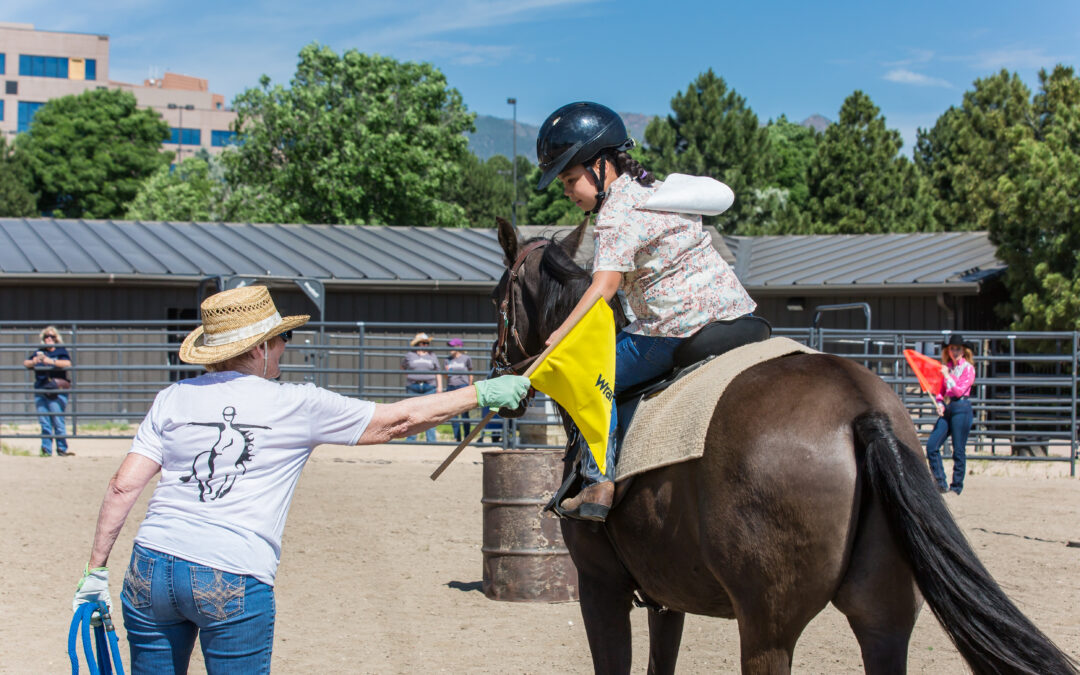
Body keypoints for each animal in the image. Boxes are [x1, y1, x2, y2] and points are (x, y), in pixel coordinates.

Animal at [494, 218, 1075, 669]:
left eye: (498, 298)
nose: (502, 373)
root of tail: (860, 409)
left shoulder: (601, 589)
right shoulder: (666, 597)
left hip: (766, 628)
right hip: (883, 619)